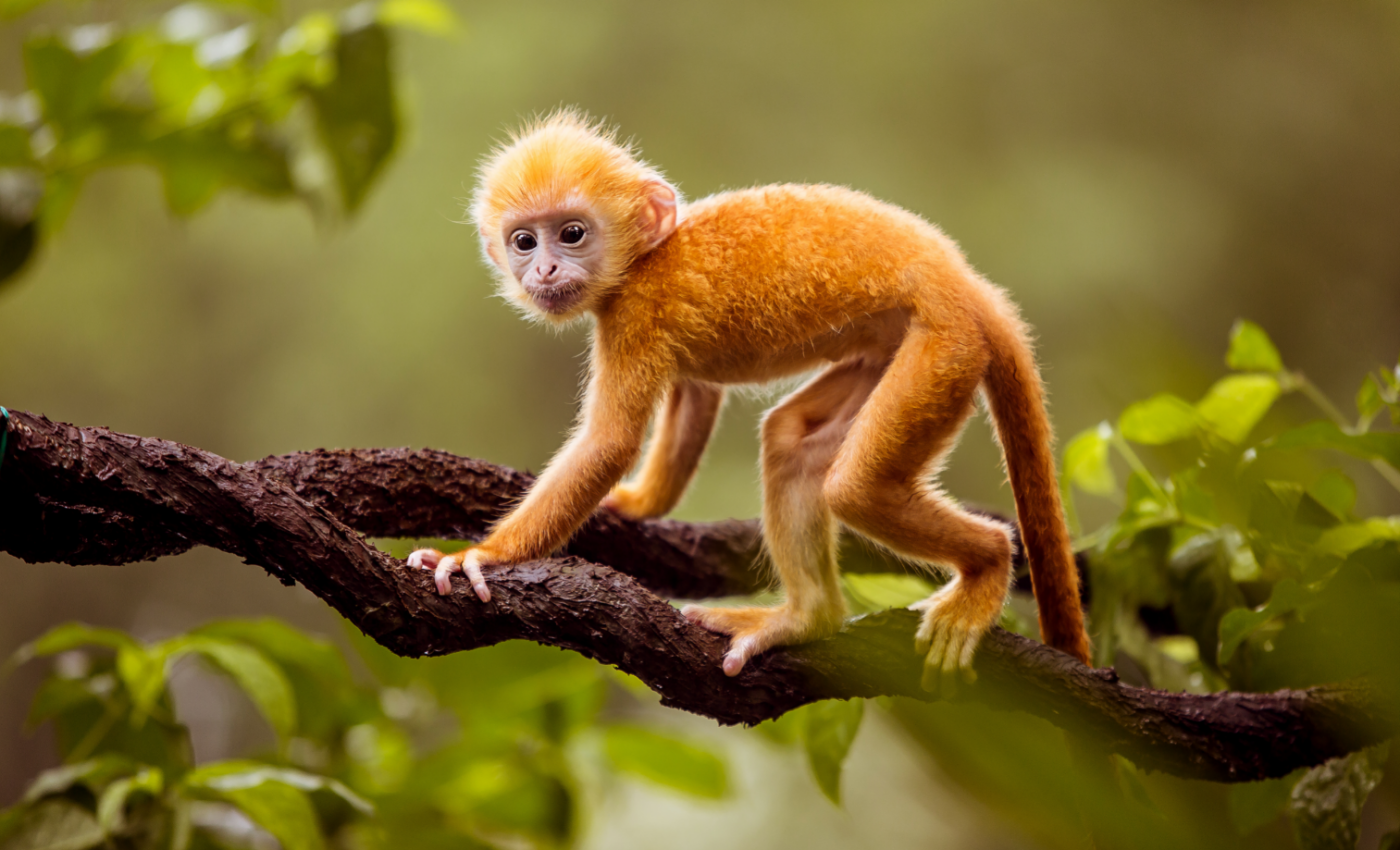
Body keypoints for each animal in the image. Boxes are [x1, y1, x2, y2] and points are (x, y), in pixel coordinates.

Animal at [406, 109, 1092, 689]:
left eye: (571, 234)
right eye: (524, 242)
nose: (543, 270)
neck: (645, 257)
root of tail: (967, 285)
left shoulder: (637, 313)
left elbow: (609, 443)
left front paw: (482, 556)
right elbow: (695, 393)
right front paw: (635, 504)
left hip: (944, 347)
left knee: (856, 488)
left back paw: (987, 566)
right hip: (897, 349)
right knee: (792, 443)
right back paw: (808, 617)